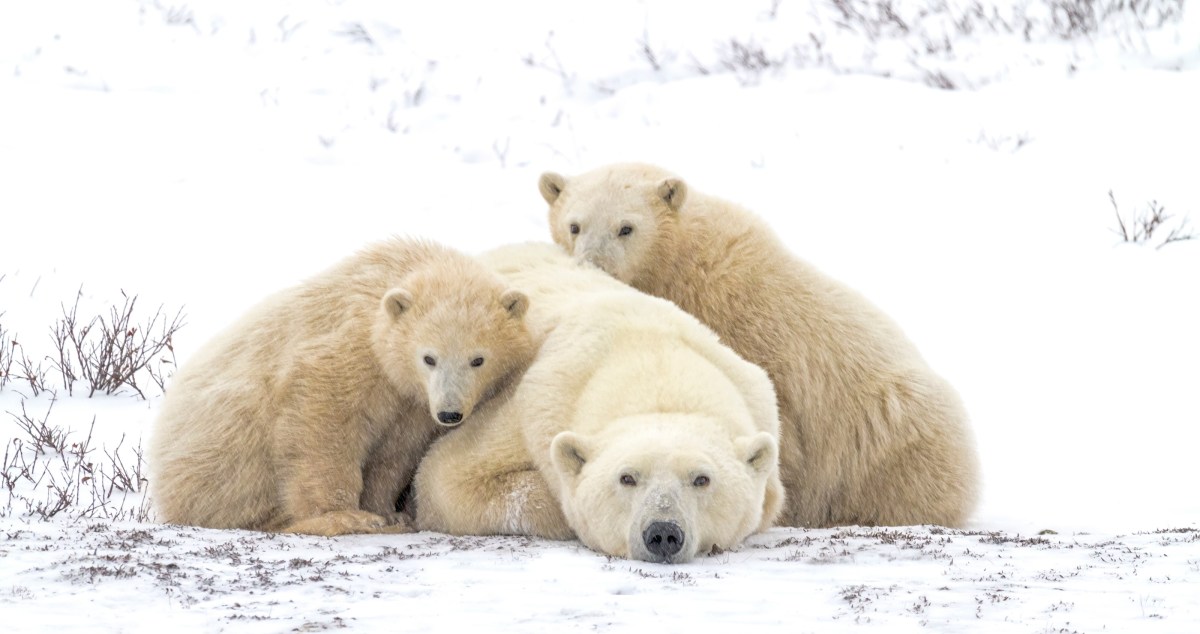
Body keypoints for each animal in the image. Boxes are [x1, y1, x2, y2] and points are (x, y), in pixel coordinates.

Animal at [148, 237, 535, 536]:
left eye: (478, 359)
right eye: (429, 358)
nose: (450, 413)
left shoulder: (409, 402)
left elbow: (394, 451)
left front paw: (389, 512)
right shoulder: (348, 348)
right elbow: (321, 420)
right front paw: (347, 516)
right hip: (222, 444)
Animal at [412, 243, 783, 563]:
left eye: (702, 479)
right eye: (627, 477)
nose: (663, 533)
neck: (650, 359)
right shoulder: (535, 404)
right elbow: (444, 476)